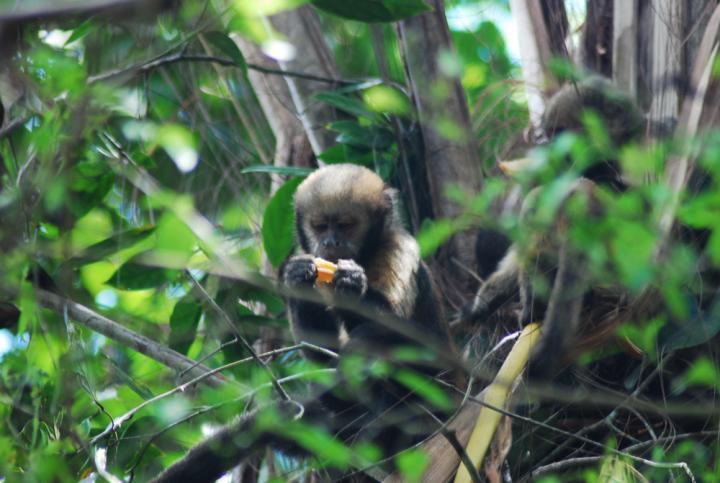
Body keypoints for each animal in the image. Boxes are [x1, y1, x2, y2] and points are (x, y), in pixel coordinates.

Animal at [464, 76, 644, 378]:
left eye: (561, 133)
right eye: (552, 134)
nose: (550, 147)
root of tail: (579, 198)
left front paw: (483, 304)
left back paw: (531, 312)